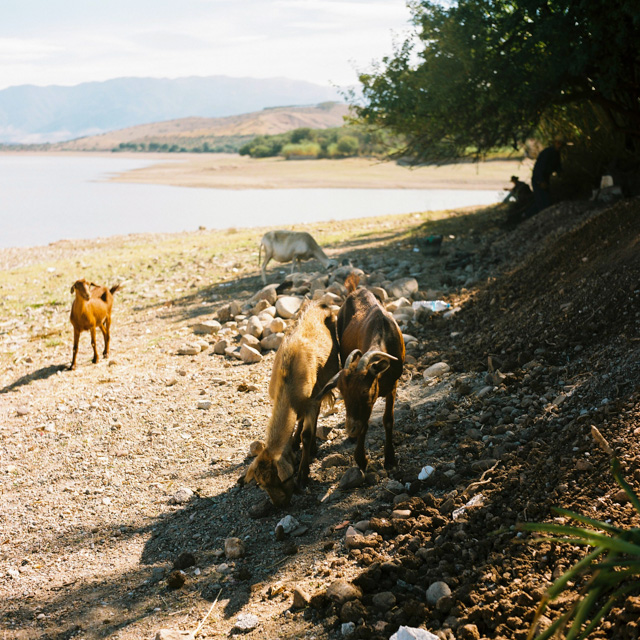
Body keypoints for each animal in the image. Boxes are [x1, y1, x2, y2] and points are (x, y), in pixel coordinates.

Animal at [240, 298, 340, 504]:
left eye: (280, 478)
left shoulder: (313, 400)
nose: (280, 505)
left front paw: (303, 474)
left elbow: (307, 434)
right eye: (261, 485)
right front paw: (296, 446)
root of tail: (320, 303)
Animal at [318, 274, 404, 470]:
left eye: (364, 390)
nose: (351, 429)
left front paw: (390, 459)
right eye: (342, 393)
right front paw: (361, 459)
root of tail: (354, 290)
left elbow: (388, 419)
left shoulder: (393, 385)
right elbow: (364, 423)